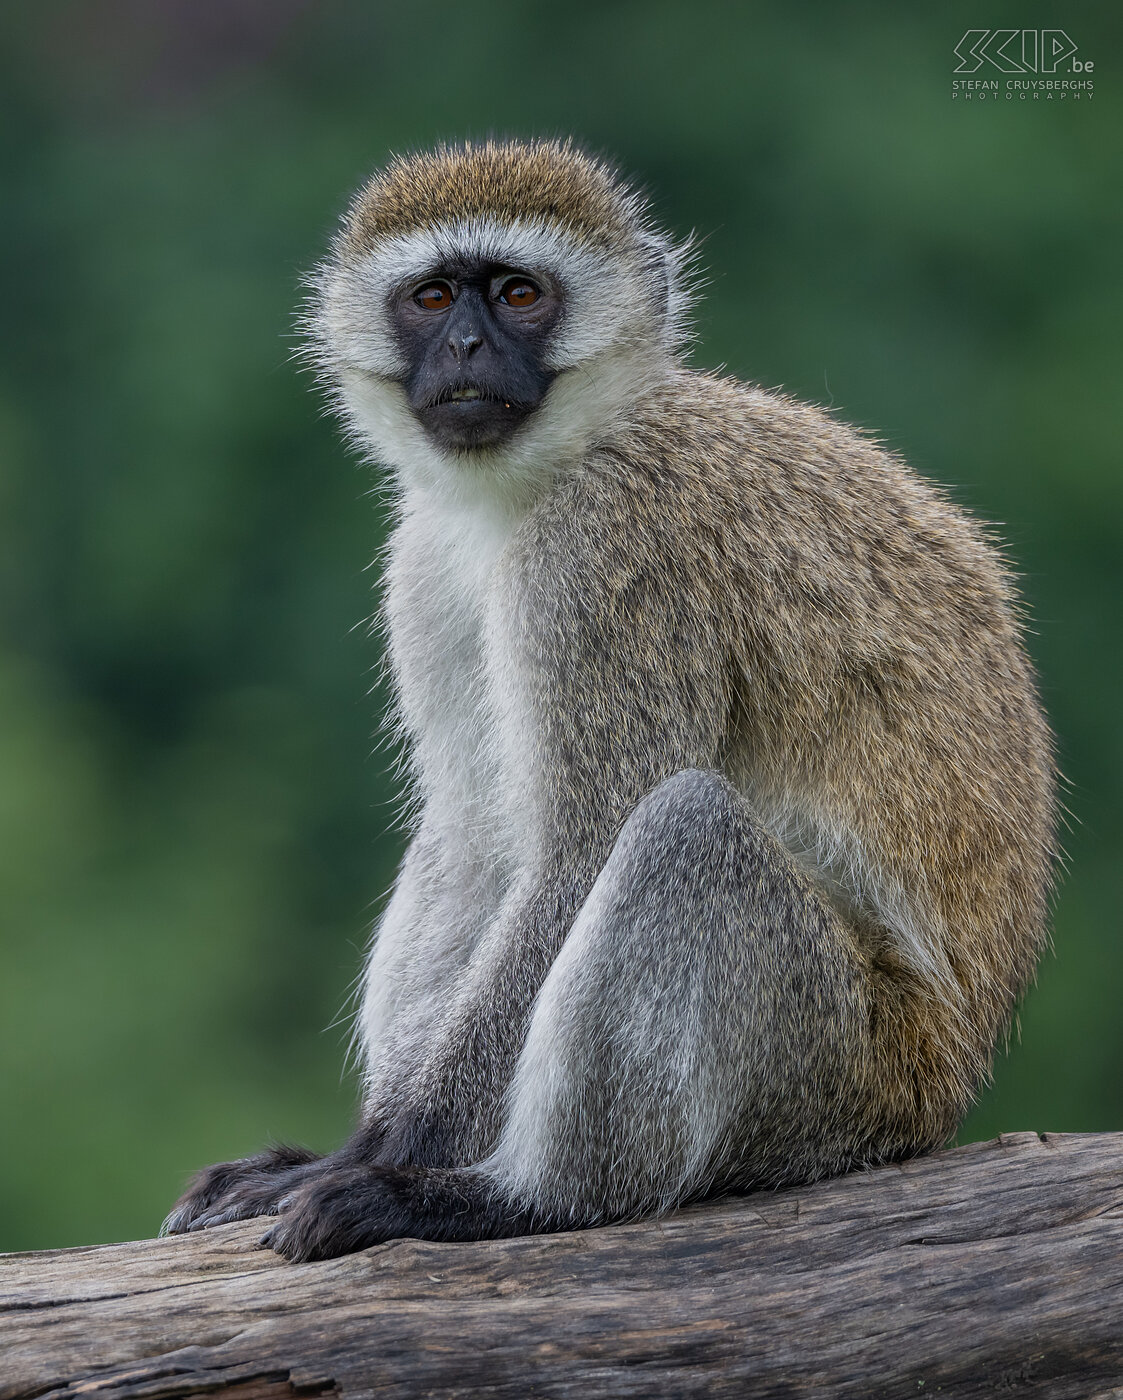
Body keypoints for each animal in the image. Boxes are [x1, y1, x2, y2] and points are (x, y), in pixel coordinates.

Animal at [161, 139, 1052, 1260]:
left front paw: (384, 1154)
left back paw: (521, 1201)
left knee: (685, 830)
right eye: (433, 296)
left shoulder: (606, 553)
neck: (543, 478)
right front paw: (342, 1145)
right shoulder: (422, 567)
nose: (464, 345)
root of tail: (947, 1080)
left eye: (519, 293)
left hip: (838, 1070)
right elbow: (477, 840)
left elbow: (578, 851)